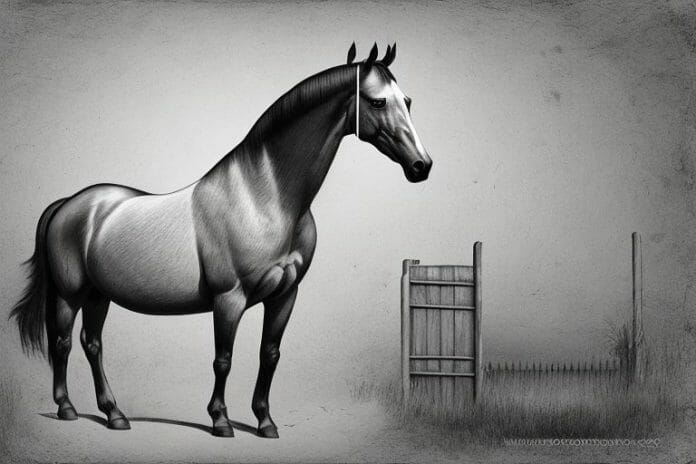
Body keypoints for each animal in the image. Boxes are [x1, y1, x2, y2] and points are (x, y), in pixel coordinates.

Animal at [10, 43, 431, 438]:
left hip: (99, 295)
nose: (421, 166)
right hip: (70, 294)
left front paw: (265, 422)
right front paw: (221, 421)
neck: (264, 197)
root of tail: (70, 204)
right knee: (63, 342)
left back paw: (114, 414)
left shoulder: (285, 295)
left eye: (408, 100)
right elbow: (223, 359)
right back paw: (67, 408)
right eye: (377, 101)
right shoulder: (229, 299)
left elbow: (269, 355)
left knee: (91, 344)